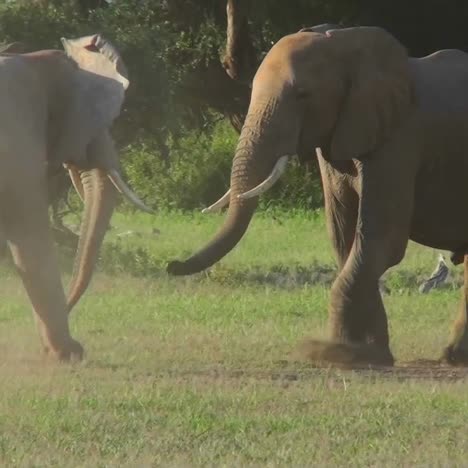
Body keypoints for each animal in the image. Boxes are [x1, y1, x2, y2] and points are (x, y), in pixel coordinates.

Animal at [170, 25, 468, 368]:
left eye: (303, 95)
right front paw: (368, 354)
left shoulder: (400, 140)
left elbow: (382, 242)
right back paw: (454, 358)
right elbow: (344, 238)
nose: (171, 265)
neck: (344, 42)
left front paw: (338, 353)